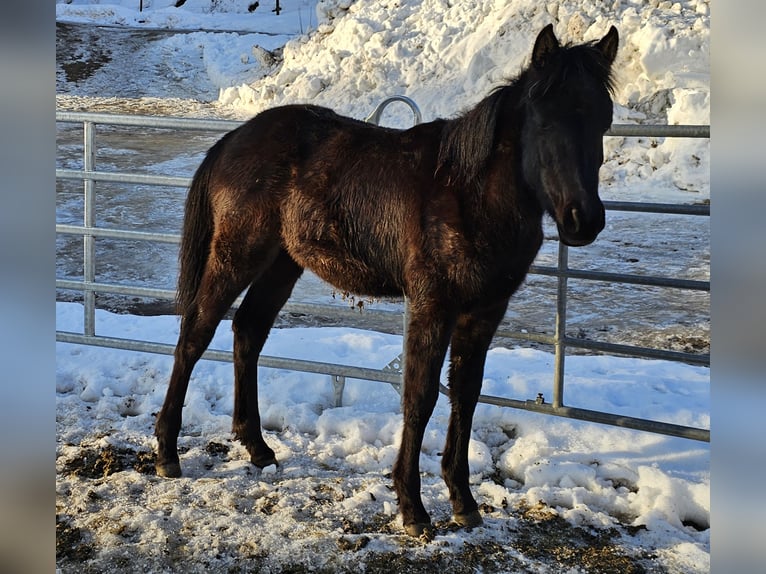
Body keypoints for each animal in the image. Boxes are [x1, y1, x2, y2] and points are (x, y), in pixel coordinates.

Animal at [154, 24, 619, 537]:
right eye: (543, 119)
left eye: (603, 119)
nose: (583, 220)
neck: (469, 193)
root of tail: (234, 139)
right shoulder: (433, 306)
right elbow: (420, 398)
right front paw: (412, 508)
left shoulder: (483, 312)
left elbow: (466, 395)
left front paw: (463, 501)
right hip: (237, 255)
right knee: (195, 334)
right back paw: (167, 452)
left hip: (282, 263)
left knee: (247, 331)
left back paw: (257, 448)